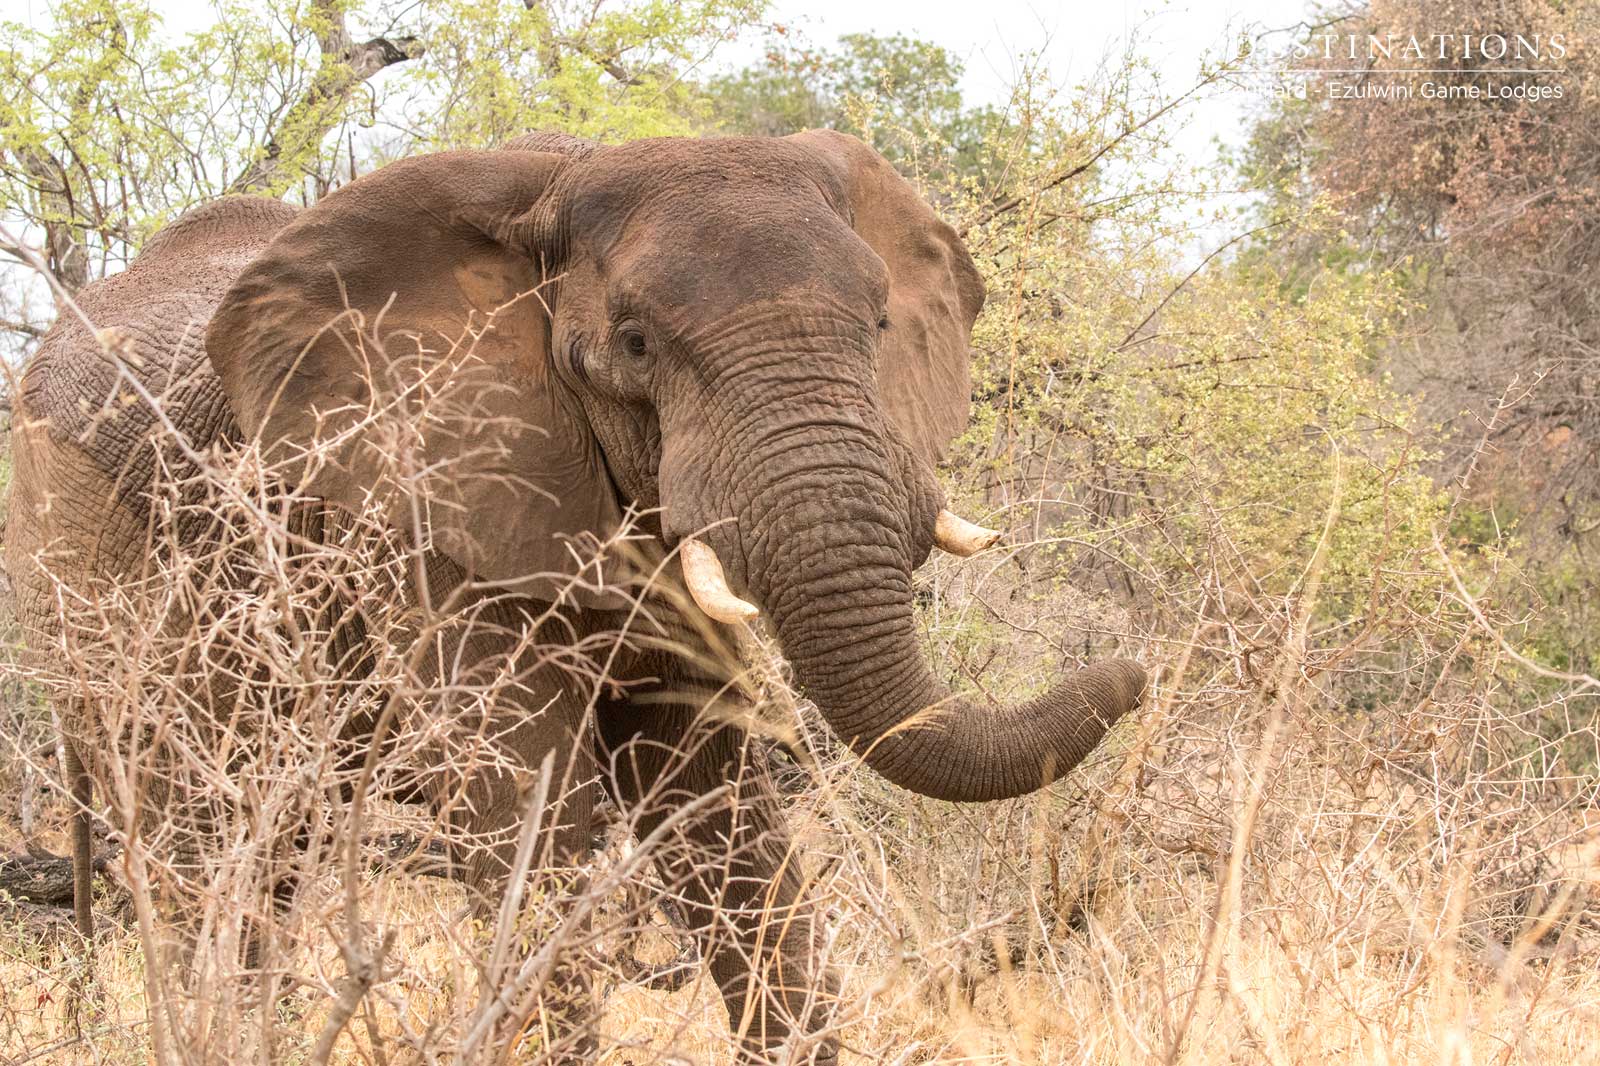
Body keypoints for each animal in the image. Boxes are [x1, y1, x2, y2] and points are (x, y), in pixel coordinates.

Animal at [4, 129, 1147, 1062]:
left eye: (876, 325)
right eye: (635, 344)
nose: (1134, 669)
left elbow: (718, 802)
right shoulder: (422, 498)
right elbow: (525, 800)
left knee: (271, 852)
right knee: (201, 838)